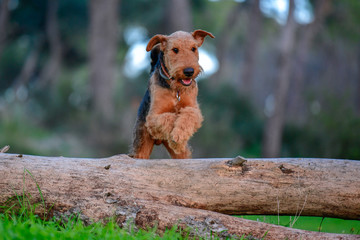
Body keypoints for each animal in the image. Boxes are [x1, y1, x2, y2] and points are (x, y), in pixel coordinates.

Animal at [129, 29, 214, 158]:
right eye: (175, 49)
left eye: (193, 48)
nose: (189, 71)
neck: (176, 90)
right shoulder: (153, 117)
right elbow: (169, 117)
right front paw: (176, 138)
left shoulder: (194, 109)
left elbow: (187, 114)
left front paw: (178, 138)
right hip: (142, 145)